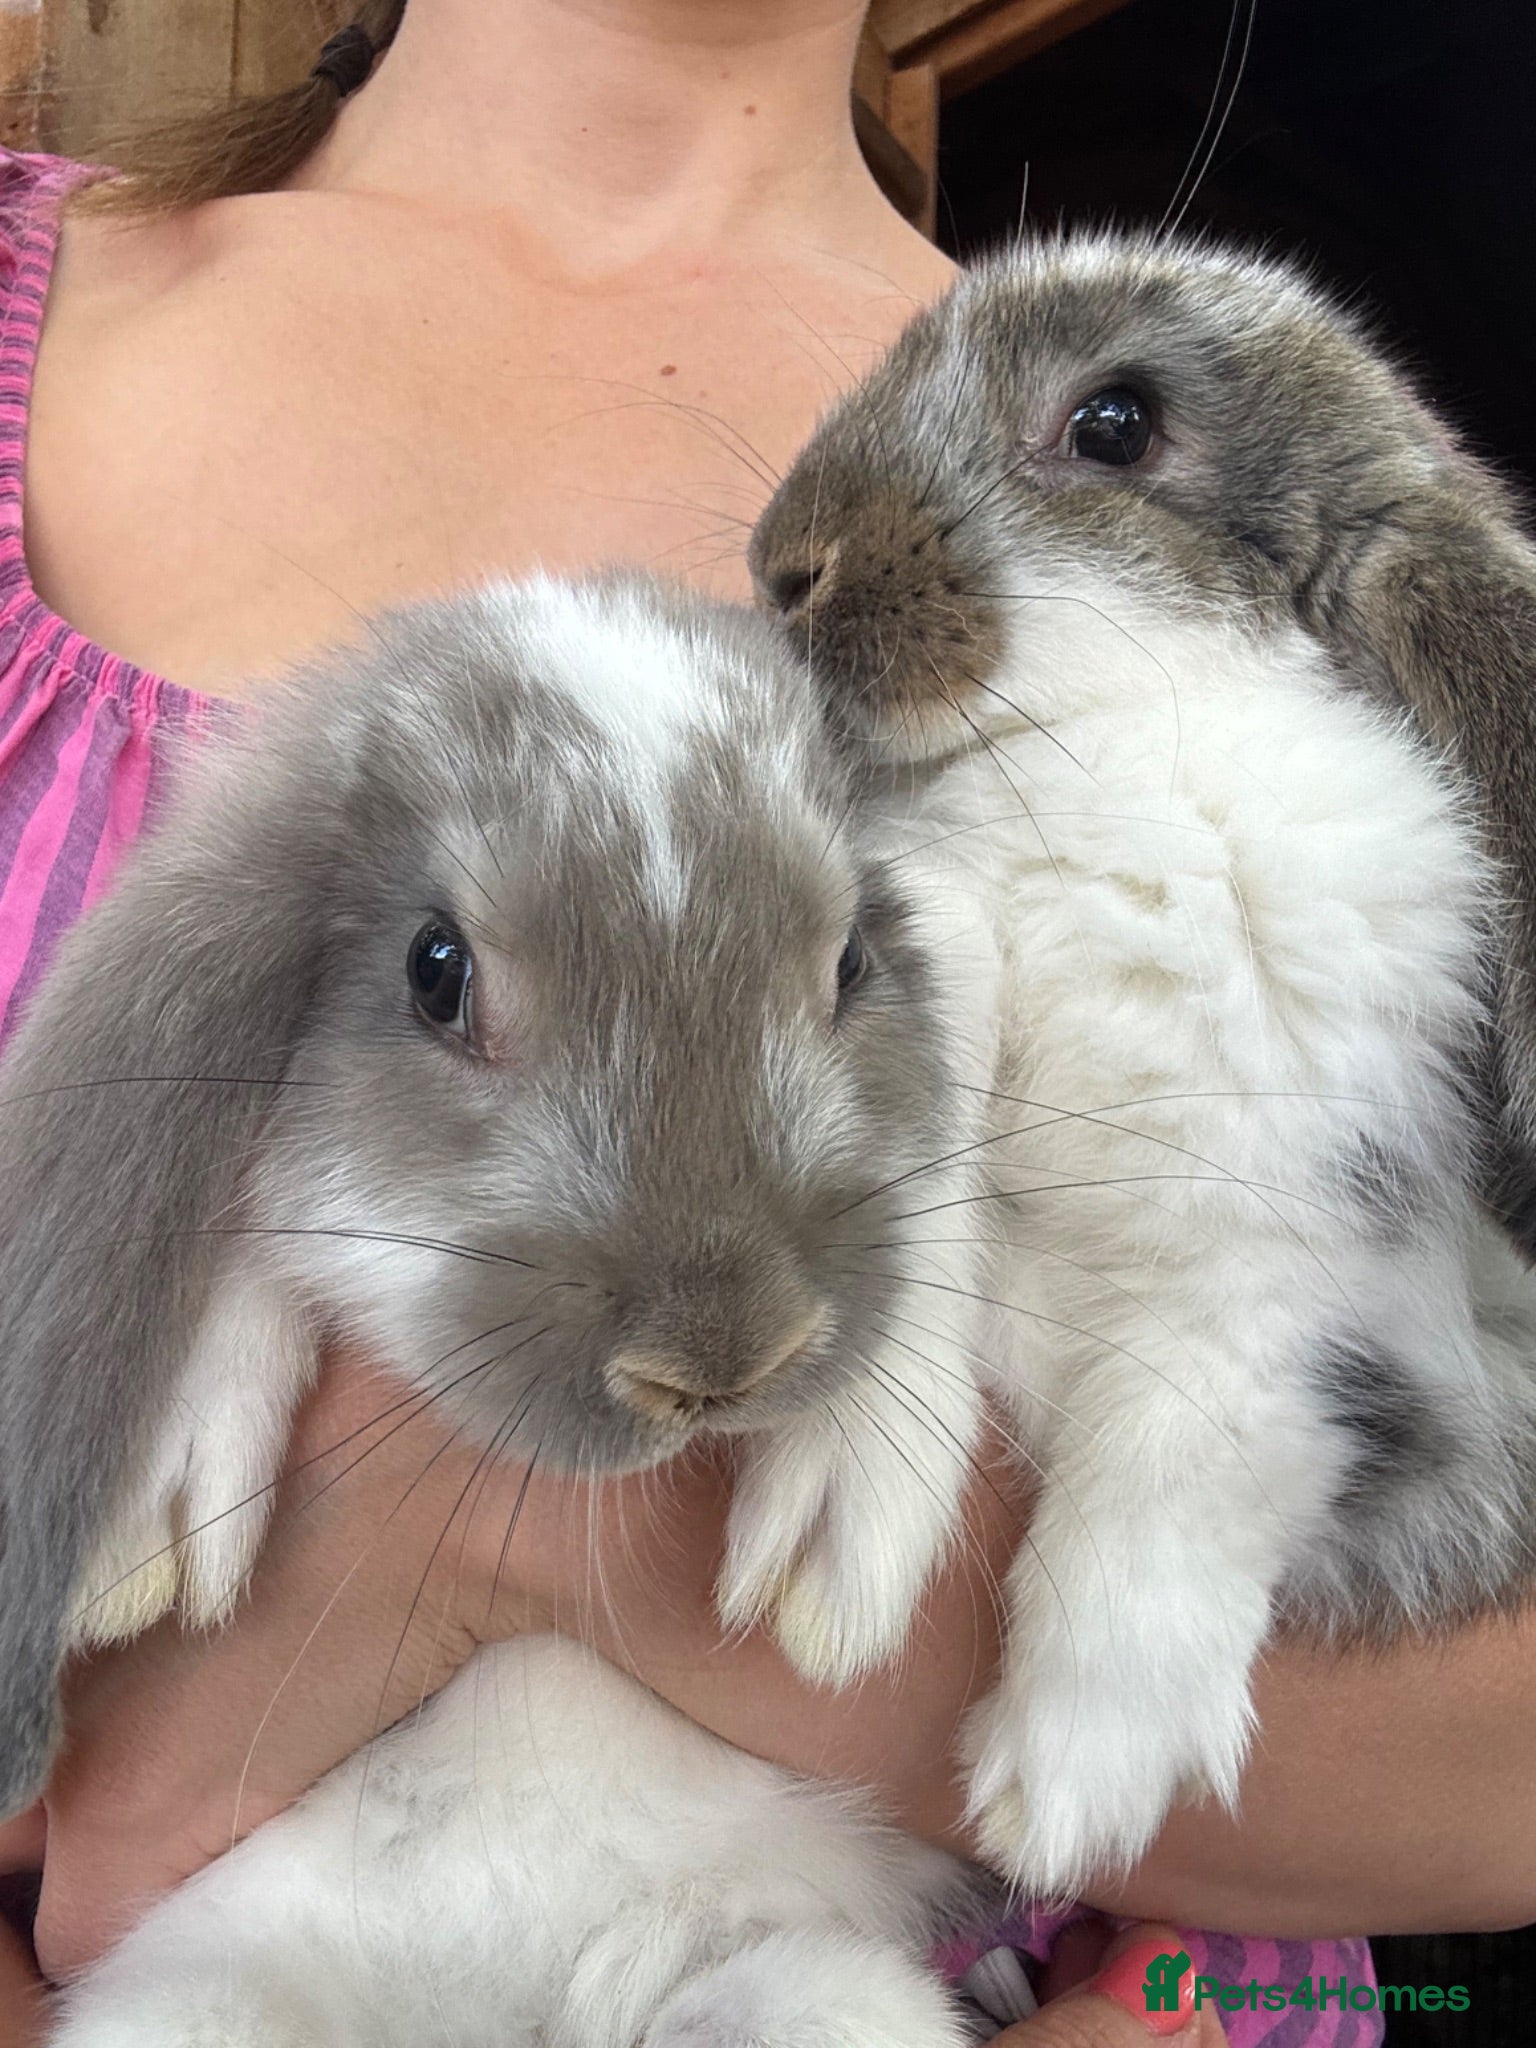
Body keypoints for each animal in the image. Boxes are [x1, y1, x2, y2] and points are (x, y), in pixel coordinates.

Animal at [0, 571, 1004, 2046]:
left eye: (854, 960)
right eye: (436, 970)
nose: (721, 1355)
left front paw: (849, 1498)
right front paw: (161, 1505)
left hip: (816, 2003)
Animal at [730, 230, 1536, 1894]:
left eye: (1114, 425)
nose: (782, 564)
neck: (1138, 761)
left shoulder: (1294, 1265)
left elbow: (1185, 1461)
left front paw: (1069, 1786)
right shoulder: (924, 939)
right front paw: (841, 1520)